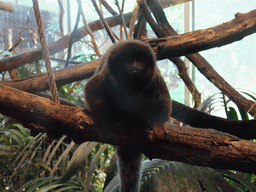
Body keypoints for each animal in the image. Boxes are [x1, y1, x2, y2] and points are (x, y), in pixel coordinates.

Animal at [85, 40, 171, 190]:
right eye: (129, 60)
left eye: (139, 60)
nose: (135, 66)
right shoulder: (107, 75)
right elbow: (91, 91)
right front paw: (110, 120)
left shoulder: (154, 76)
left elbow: (162, 99)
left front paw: (158, 124)